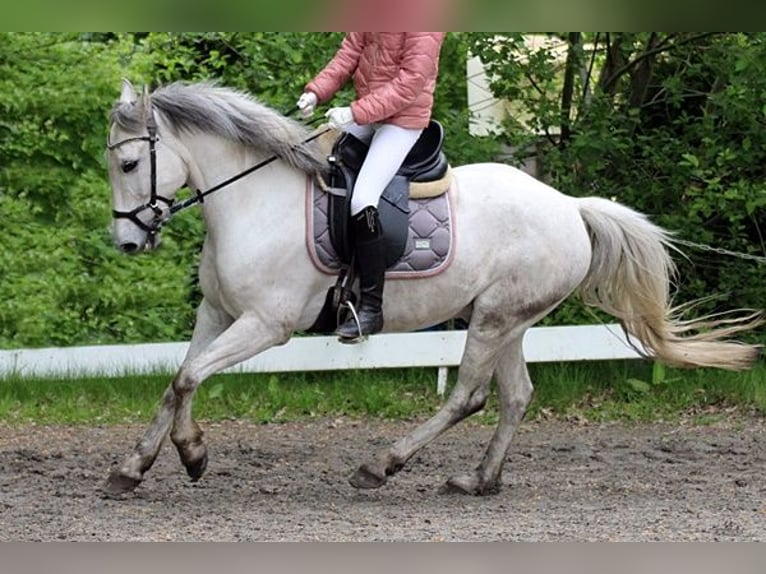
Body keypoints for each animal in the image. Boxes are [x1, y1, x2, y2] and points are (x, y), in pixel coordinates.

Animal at [105, 81, 764, 500]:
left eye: (130, 165)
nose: (128, 243)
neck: (253, 200)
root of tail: (571, 207)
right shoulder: (217, 313)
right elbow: (177, 380)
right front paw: (132, 469)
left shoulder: (266, 325)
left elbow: (189, 379)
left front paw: (192, 454)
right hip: (507, 320)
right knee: (516, 396)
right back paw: (478, 480)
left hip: (494, 319)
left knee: (468, 397)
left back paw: (380, 466)